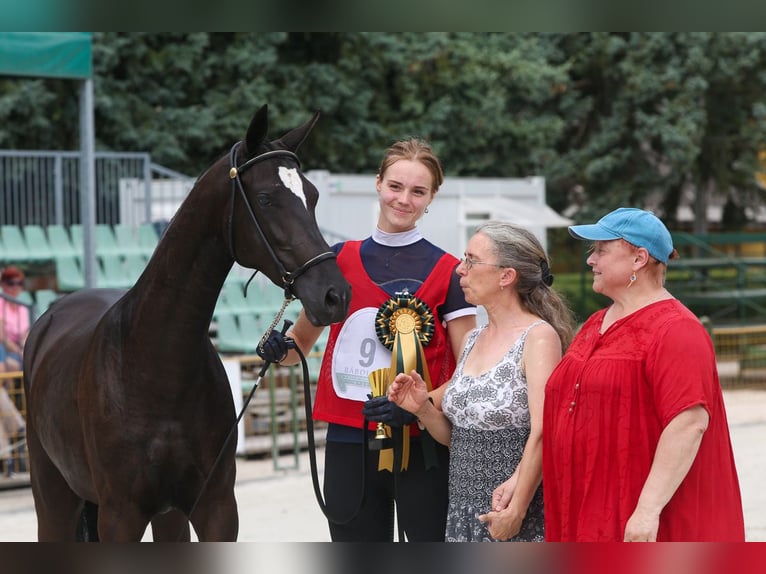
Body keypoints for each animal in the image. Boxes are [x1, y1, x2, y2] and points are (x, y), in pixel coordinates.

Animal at [21, 106, 352, 544]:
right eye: (266, 198)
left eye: (311, 197)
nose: (335, 294)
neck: (154, 365)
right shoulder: (120, 516)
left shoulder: (216, 508)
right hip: (53, 497)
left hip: (168, 516)